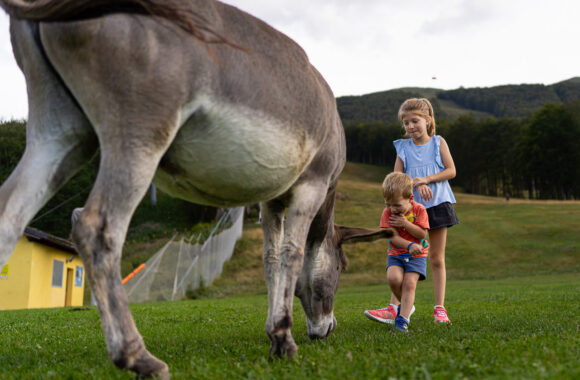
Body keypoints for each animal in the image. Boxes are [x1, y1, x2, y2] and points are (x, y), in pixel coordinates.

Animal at [0, 1, 394, 378]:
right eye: (344, 266)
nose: (326, 329)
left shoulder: (270, 202)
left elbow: (270, 259)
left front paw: (274, 332)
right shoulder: (310, 188)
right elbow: (292, 255)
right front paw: (283, 339)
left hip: (61, 136)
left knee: (9, 217)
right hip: (137, 139)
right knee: (95, 227)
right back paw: (138, 357)